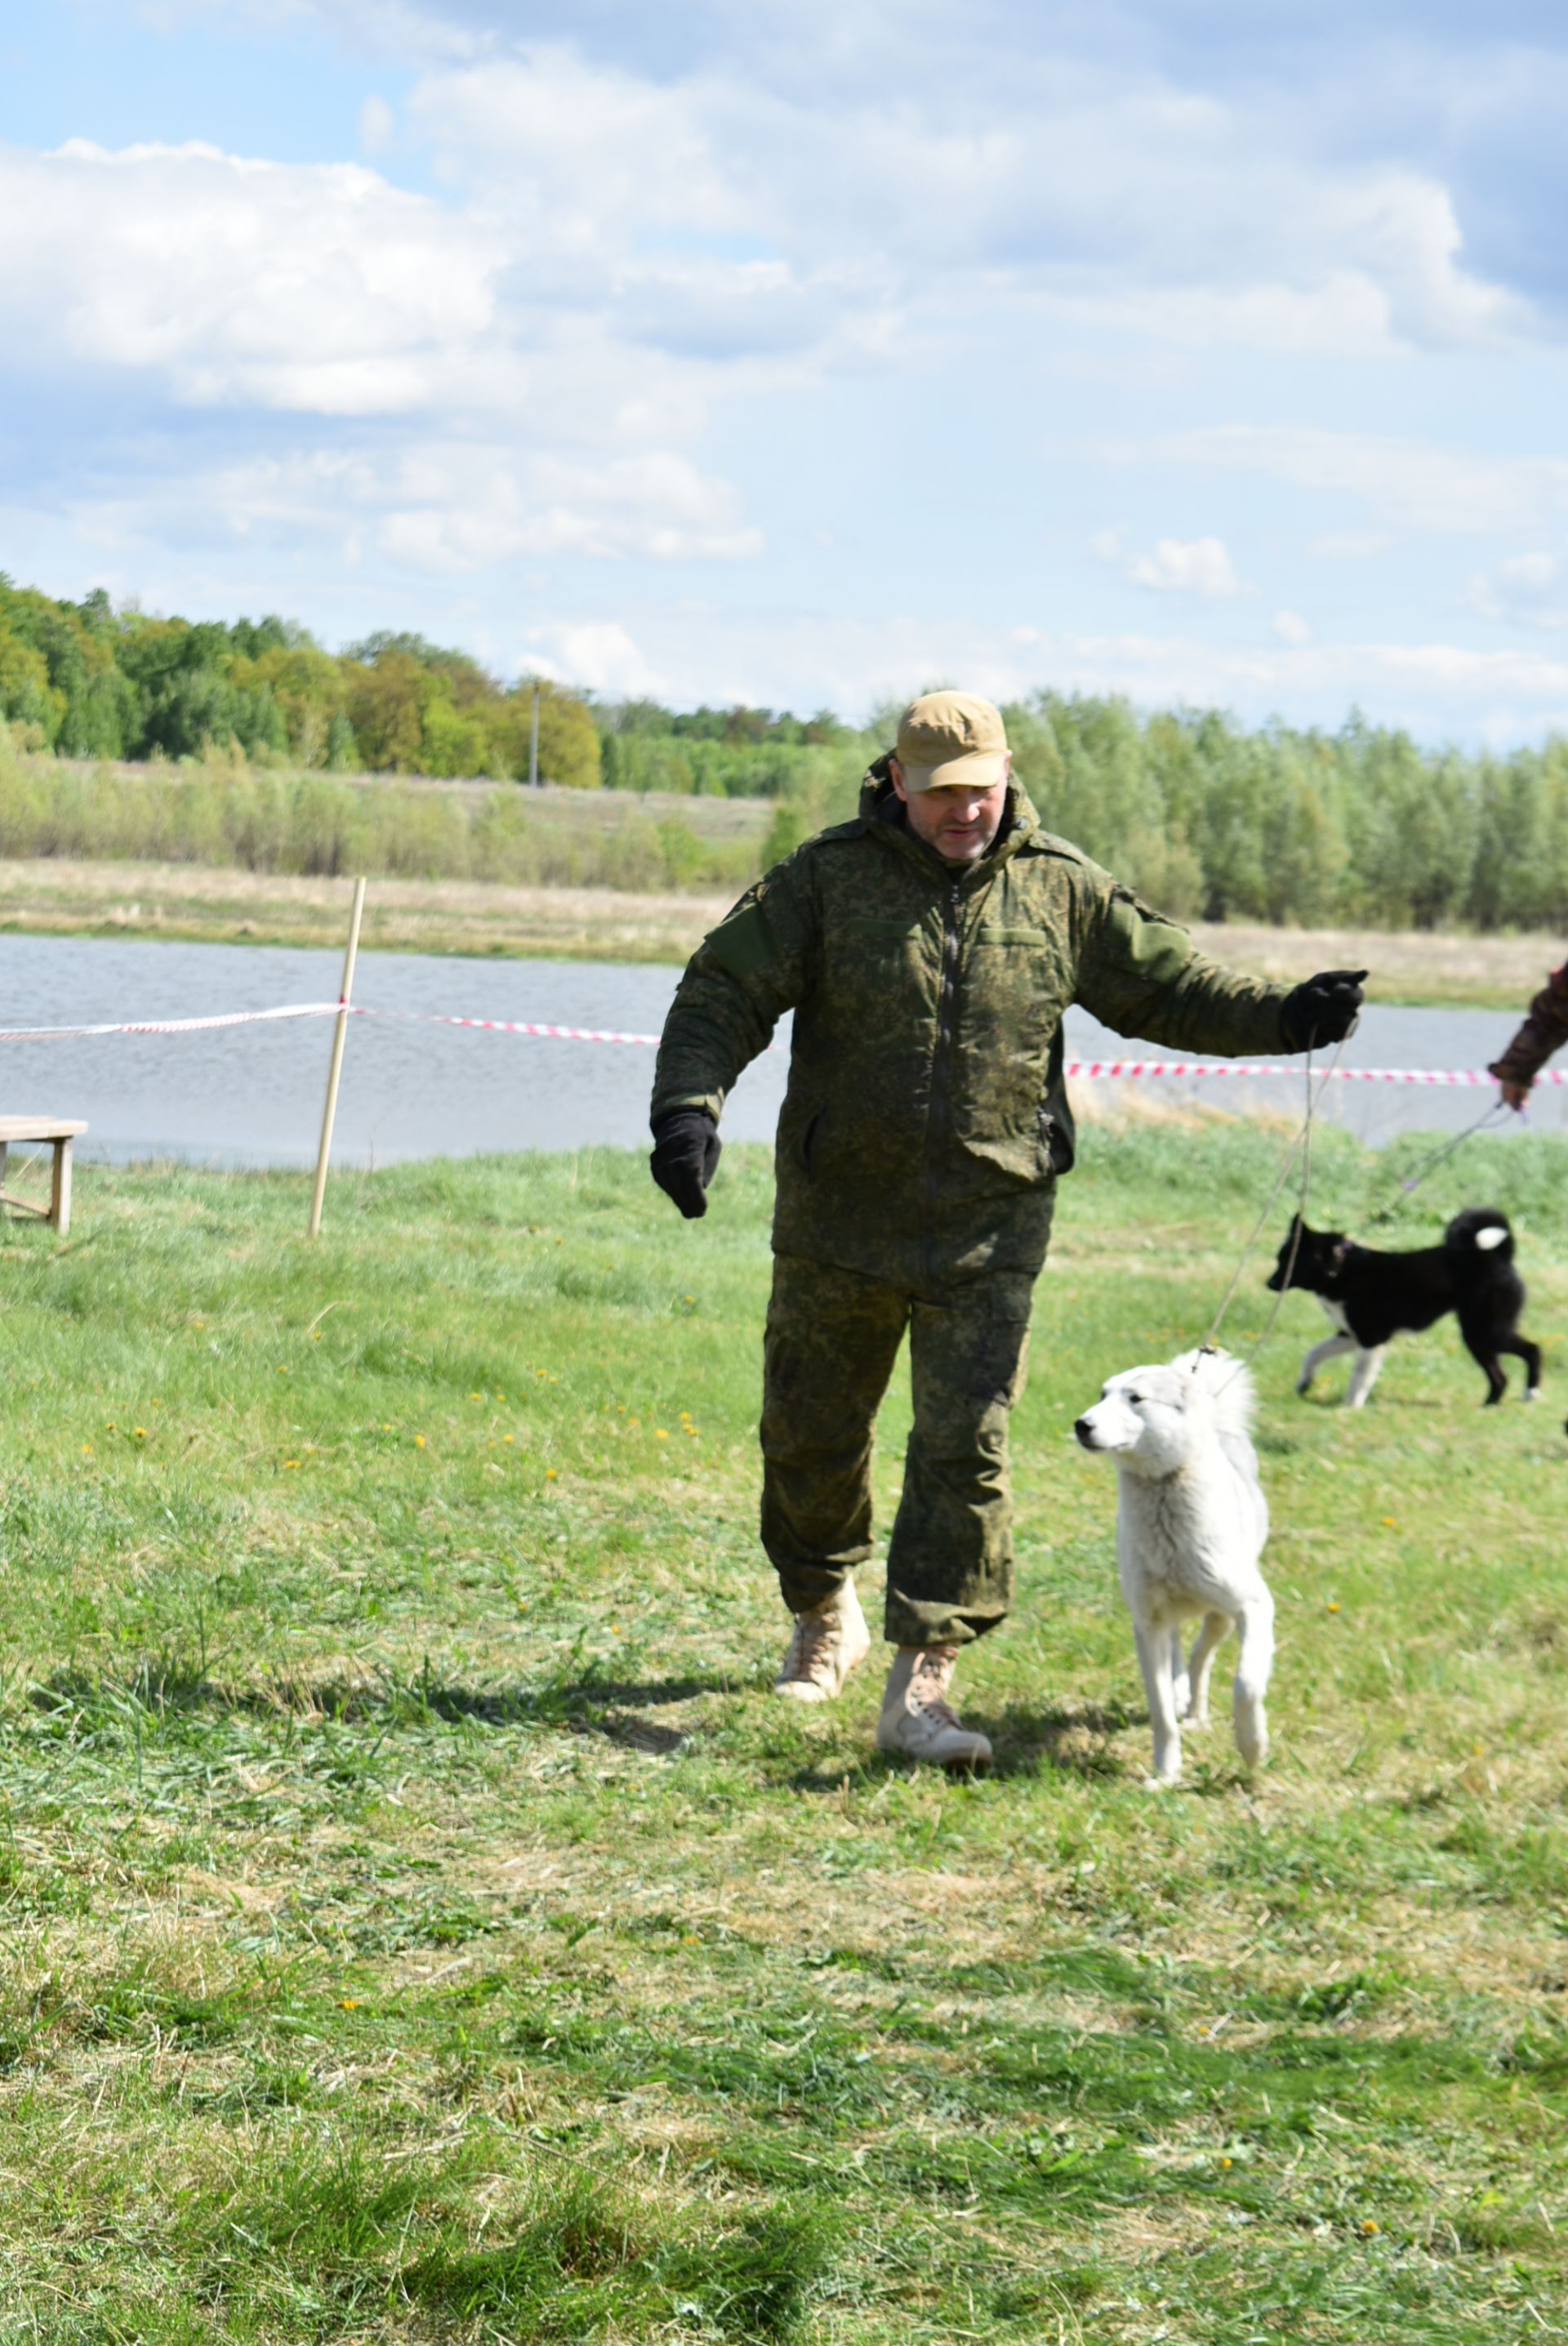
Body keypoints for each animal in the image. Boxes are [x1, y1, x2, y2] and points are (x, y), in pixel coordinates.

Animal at [1068, 1351, 1275, 1782]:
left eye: (1136, 1398)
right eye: (1102, 1395)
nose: (1082, 1424)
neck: (1163, 1483)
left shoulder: (1254, 1606)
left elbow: (1246, 1683)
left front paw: (1252, 1746)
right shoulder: (1148, 1624)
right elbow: (1161, 1710)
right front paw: (1165, 1775)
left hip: (1221, 1618)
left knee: (1200, 1660)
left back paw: (1197, 1713)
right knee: (1181, 1651)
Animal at [1265, 1210, 1537, 1407]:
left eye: (1288, 1261)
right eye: (1279, 1258)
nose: (1269, 1283)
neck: (1340, 1269)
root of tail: (1499, 1256)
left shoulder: (1372, 1340)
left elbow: (1360, 1376)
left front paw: (1350, 1407)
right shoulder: (1350, 1336)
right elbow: (1314, 1353)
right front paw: (1305, 1382)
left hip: (1485, 1331)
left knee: (1533, 1349)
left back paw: (1531, 1392)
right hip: (1478, 1338)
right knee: (1500, 1377)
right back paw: (1488, 1406)